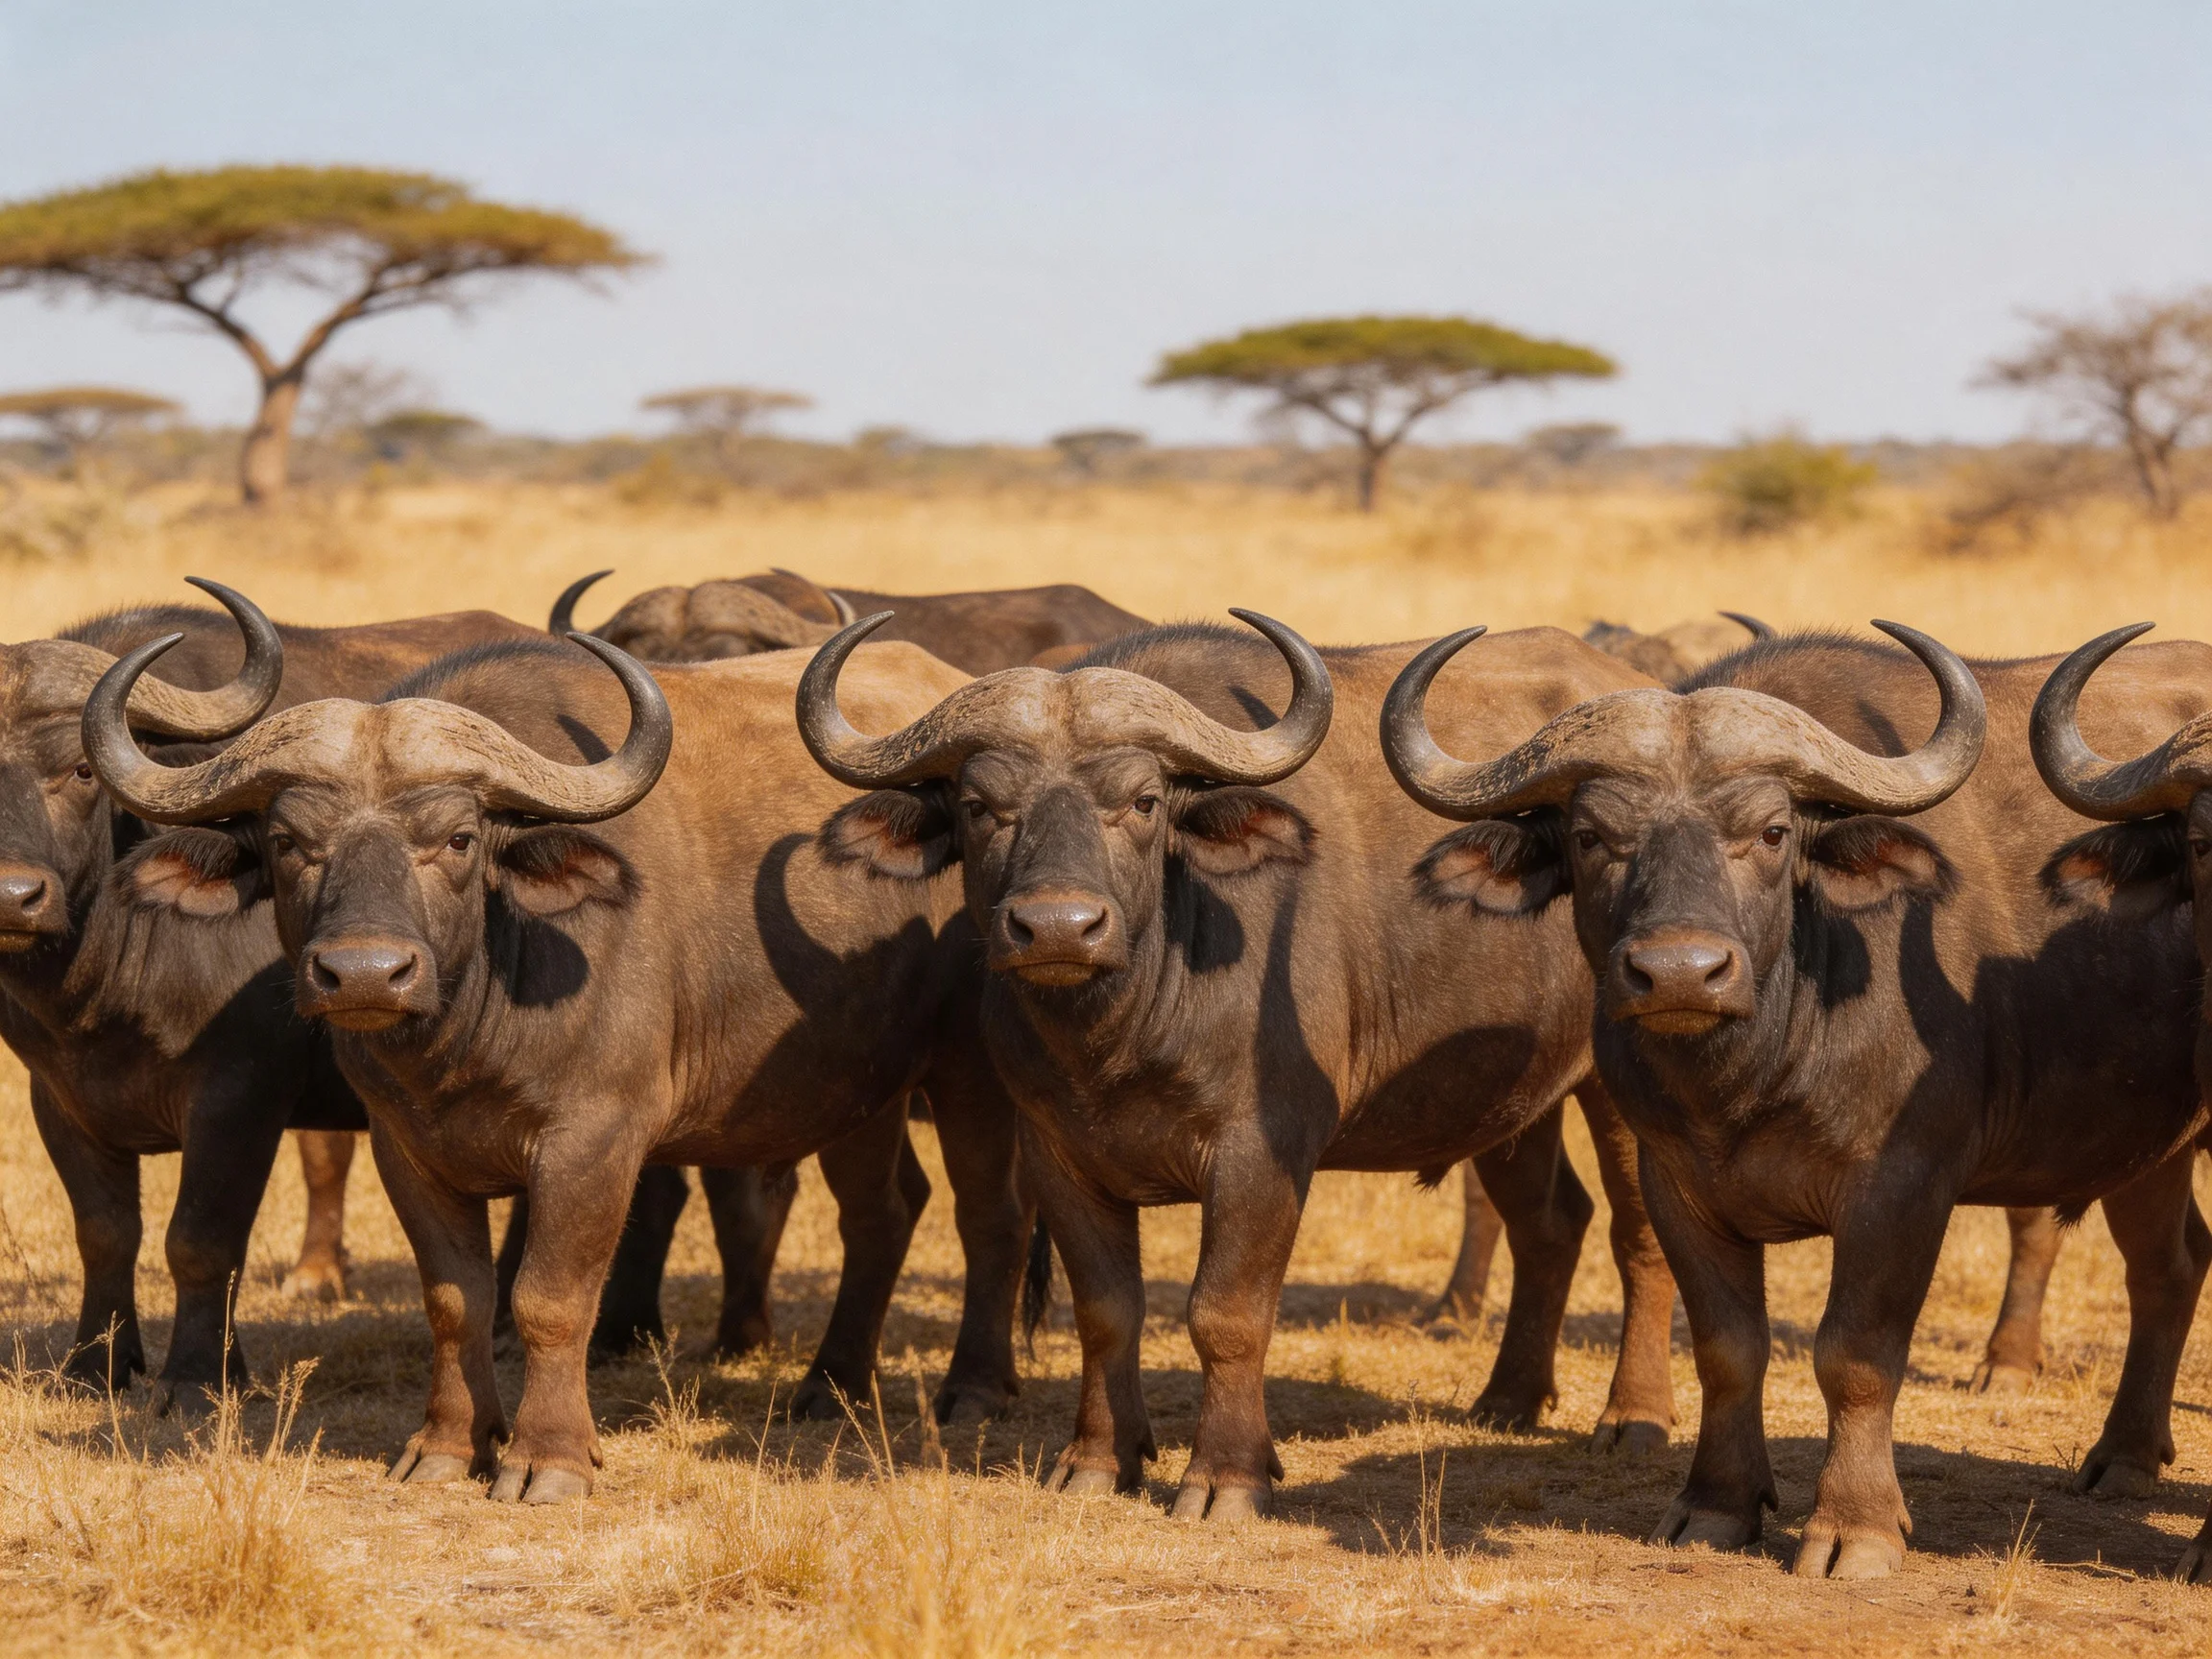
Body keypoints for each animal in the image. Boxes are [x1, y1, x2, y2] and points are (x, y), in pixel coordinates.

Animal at [86, 620, 1030, 1500]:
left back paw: (974, 1393)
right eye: (288, 842)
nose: (364, 973)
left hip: (971, 1072)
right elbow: (455, 1299)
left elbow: (548, 1297)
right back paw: (830, 1387)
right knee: (884, 1210)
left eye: (459, 839)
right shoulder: (405, 1147)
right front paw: (447, 1446)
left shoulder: (595, 1141)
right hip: (857, 1087)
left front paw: (549, 1459)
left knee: (989, 1217)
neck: (473, 1023)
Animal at [793, 611, 1681, 1521]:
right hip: (1508, 1101)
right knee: (1551, 1221)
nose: (1058, 928)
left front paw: (1226, 1476)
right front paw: (1099, 1460)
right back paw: (1508, 1399)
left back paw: (1632, 1419)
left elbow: (1225, 1312)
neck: (1127, 1026)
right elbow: (1107, 1309)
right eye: (980, 806)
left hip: (1622, 1083)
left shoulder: (1263, 1154)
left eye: (1143, 802)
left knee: (1640, 1234)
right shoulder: (1057, 1154)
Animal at [1383, 622, 2212, 1577]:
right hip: (2149, 1149)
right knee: (2171, 1266)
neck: (1760, 1066)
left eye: (1773, 831)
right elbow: (1727, 1349)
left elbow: (1853, 1355)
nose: (1680, 973)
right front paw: (1717, 1505)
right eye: (1592, 836)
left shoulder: (1902, 1189)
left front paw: (1854, 1529)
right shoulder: (1678, 1187)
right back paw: (2124, 1457)